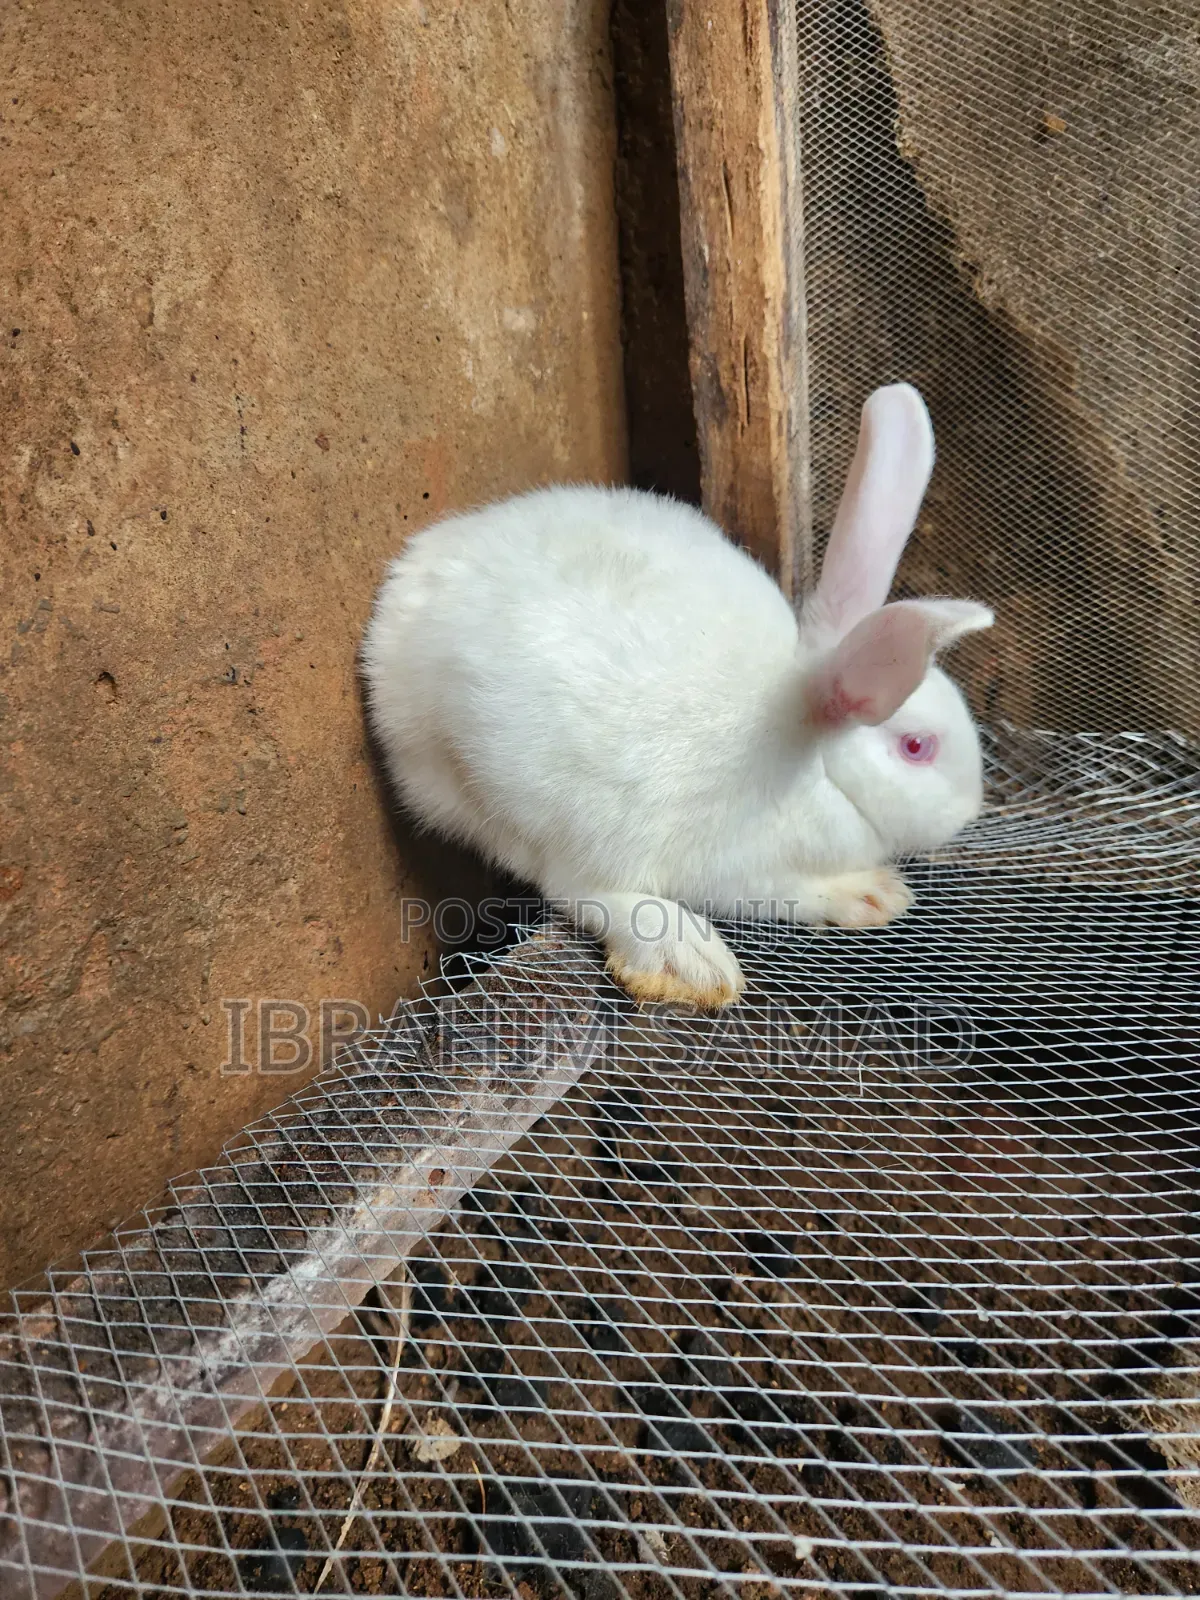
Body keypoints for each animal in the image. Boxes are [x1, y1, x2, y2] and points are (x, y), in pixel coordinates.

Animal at [361, 383, 993, 1010]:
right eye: (917, 747)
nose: (971, 810)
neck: (810, 747)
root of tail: (388, 643)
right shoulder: (747, 868)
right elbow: (789, 892)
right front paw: (868, 893)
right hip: (538, 804)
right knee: (575, 887)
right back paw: (685, 957)